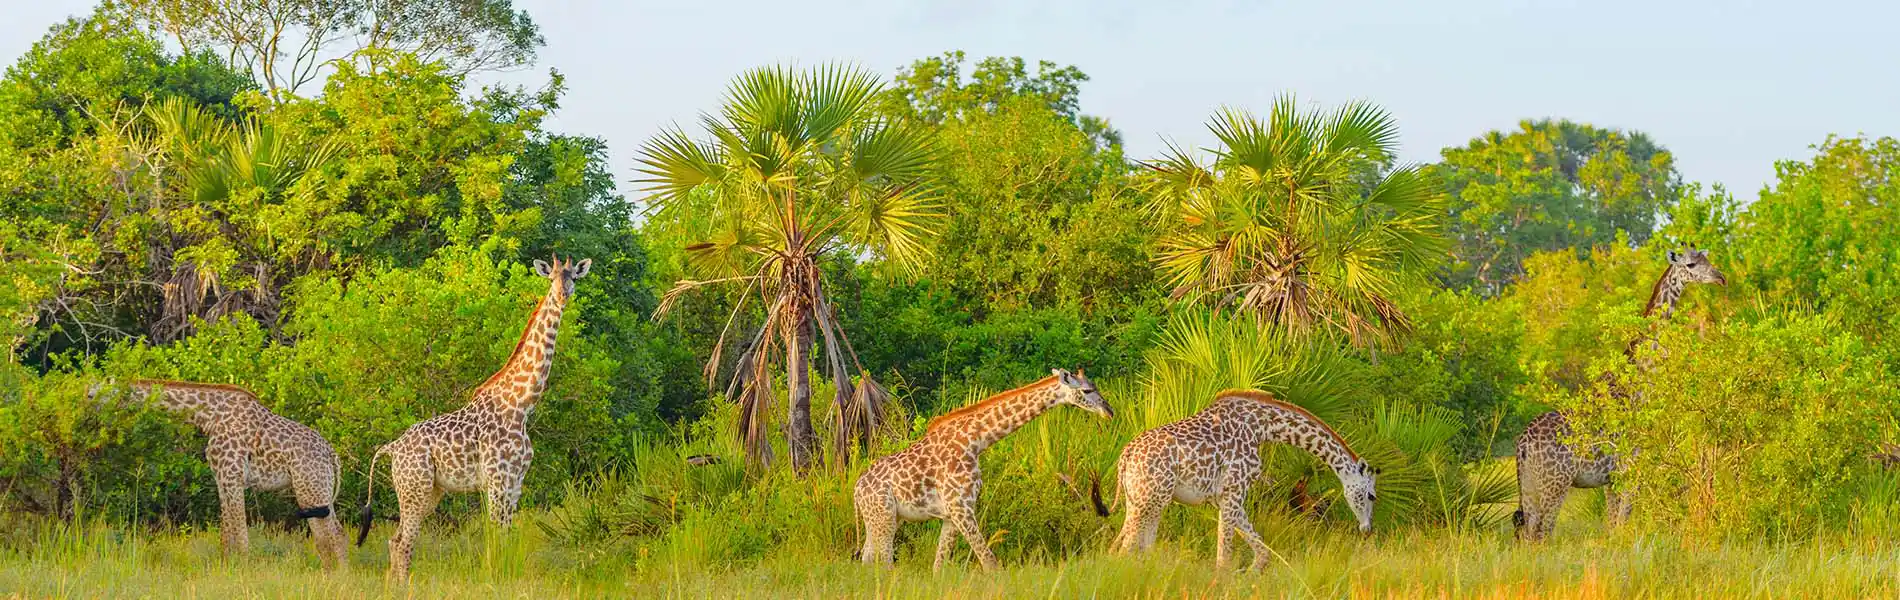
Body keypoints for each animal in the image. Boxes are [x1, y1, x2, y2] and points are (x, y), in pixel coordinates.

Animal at [91, 377, 349, 569]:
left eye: (94, 394)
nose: (88, 408)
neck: (209, 416)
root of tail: (332, 455)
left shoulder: (232, 476)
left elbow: (241, 534)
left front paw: (243, 571)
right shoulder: (222, 478)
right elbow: (227, 534)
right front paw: (227, 568)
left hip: (311, 489)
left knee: (335, 535)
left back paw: (341, 578)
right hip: (316, 491)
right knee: (327, 536)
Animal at [357, 254, 589, 581]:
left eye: (573, 277)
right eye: (551, 277)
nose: (562, 295)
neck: (521, 405)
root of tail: (391, 448)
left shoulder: (515, 482)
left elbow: (505, 537)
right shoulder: (497, 480)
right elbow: (495, 536)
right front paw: (492, 578)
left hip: (429, 492)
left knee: (395, 539)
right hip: (414, 489)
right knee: (403, 542)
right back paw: (404, 585)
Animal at [851, 370, 1109, 573]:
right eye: (1086, 390)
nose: (1109, 410)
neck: (975, 442)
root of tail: (856, 489)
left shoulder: (951, 514)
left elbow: (939, 566)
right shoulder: (960, 507)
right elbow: (989, 562)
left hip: (881, 517)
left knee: (867, 559)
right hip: (883, 515)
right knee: (884, 562)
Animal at [1094, 389, 1375, 573]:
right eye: (1371, 495)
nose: (1367, 529)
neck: (1264, 428)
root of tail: (1126, 455)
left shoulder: (1223, 496)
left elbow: (1261, 552)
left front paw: (1250, 576)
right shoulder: (1234, 489)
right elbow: (1225, 558)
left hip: (1144, 499)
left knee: (1132, 547)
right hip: (1149, 499)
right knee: (1125, 549)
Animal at [1512, 246, 1725, 543]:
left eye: (1707, 259)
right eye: (1691, 264)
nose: (1720, 278)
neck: (1638, 382)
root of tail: (1523, 445)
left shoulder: (1611, 479)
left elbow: (1612, 527)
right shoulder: (1630, 469)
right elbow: (1622, 523)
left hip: (1530, 485)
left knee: (1527, 534)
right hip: (1555, 483)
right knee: (1541, 533)